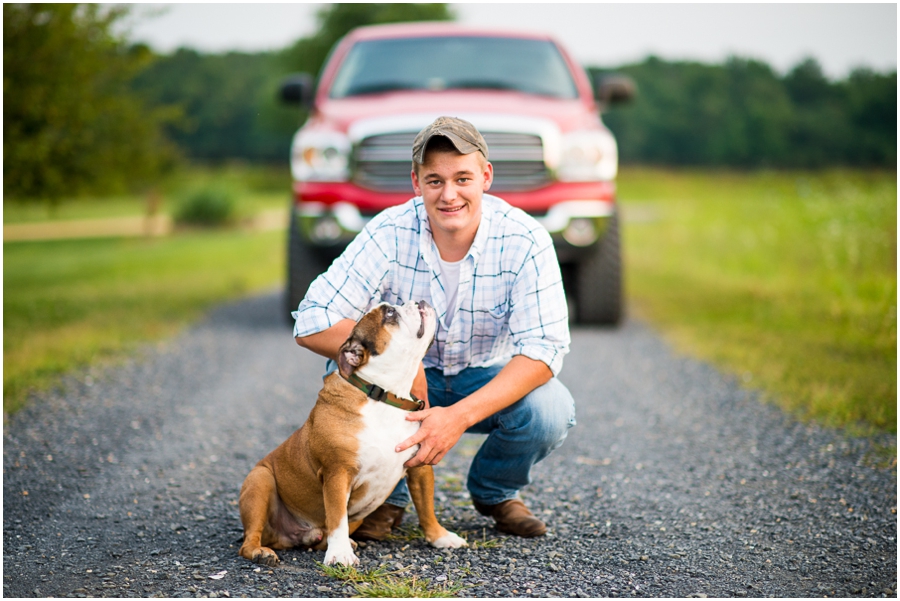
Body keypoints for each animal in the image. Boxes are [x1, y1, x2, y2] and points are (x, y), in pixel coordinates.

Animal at [237, 300, 464, 568]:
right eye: (389, 312)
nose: (417, 301)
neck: (382, 395)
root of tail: (290, 537)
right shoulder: (338, 473)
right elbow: (337, 518)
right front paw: (340, 555)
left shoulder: (420, 467)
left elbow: (426, 506)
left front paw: (440, 537)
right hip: (259, 480)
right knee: (249, 539)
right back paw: (260, 552)